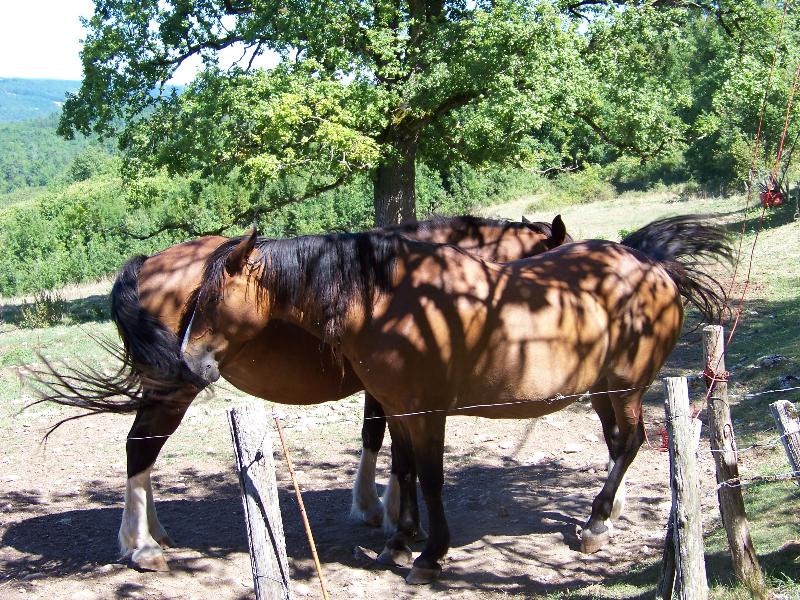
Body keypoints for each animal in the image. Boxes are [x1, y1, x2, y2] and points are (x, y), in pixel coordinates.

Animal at [34, 214, 570, 572]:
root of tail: (149, 263)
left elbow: (386, 442)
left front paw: (388, 514)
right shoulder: (390, 387)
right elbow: (388, 444)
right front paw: (385, 513)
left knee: (144, 453)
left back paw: (155, 533)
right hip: (173, 388)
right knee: (139, 448)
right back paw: (139, 544)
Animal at [163, 215, 729, 583]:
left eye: (210, 301)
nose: (187, 362)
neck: (392, 302)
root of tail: (653, 267)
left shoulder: (428, 412)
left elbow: (431, 477)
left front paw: (431, 555)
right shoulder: (396, 407)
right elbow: (405, 467)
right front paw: (398, 540)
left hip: (626, 388)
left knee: (630, 441)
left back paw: (595, 524)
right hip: (602, 390)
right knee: (617, 442)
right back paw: (602, 519)